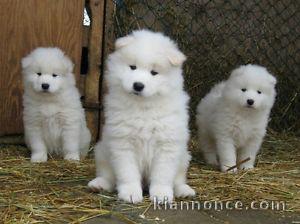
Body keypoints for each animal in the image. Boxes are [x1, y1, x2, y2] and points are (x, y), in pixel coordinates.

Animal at [87, 29, 195, 203]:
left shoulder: (167, 145)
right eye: (132, 67)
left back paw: (184, 191)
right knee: (108, 175)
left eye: (154, 73)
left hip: (183, 158)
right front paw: (130, 193)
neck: (143, 106)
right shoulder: (123, 143)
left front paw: (161, 194)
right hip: (102, 151)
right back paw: (99, 184)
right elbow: (127, 173)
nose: (138, 85)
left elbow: (162, 175)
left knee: (178, 179)